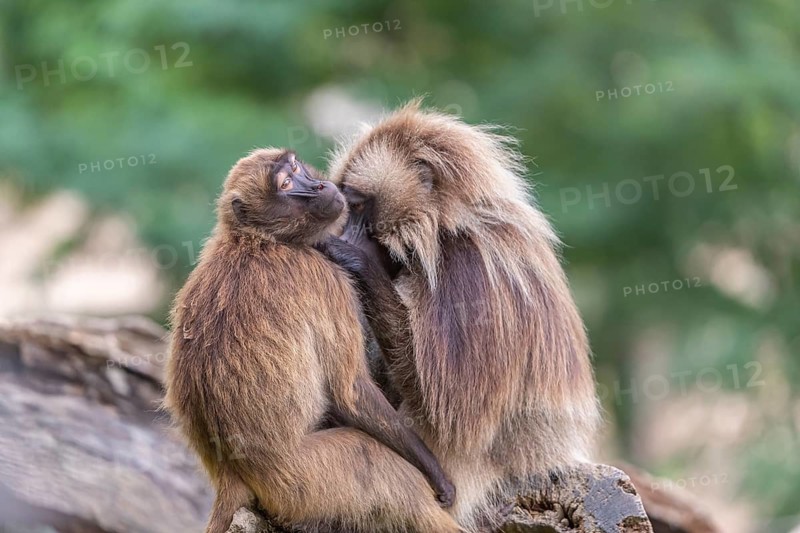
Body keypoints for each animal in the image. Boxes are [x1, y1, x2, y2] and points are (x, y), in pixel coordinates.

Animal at [163, 148, 460, 533]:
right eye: (286, 185)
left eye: (295, 167)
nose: (320, 186)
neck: (258, 240)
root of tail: (232, 473)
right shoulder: (322, 275)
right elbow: (350, 393)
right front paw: (438, 476)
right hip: (303, 480)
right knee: (375, 460)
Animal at [323, 101, 602, 530]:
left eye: (357, 204)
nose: (345, 233)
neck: (444, 228)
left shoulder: (470, 270)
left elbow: (452, 410)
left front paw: (356, 261)